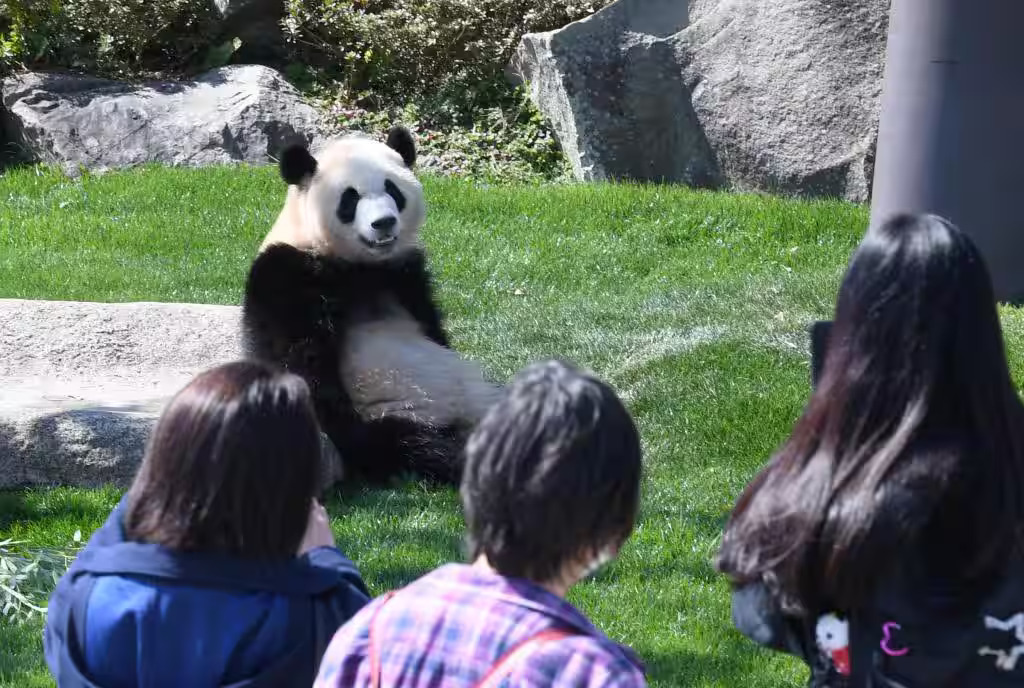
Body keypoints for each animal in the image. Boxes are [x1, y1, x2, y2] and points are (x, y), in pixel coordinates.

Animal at [240, 126, 503, 485]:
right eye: (350, 199)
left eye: (392, 189)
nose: (384, 223)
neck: (359, 265)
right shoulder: (287, 277)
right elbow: (301, 362)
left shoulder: (405, 275)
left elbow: (432, 327)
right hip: (405, 414)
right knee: (420, 445)